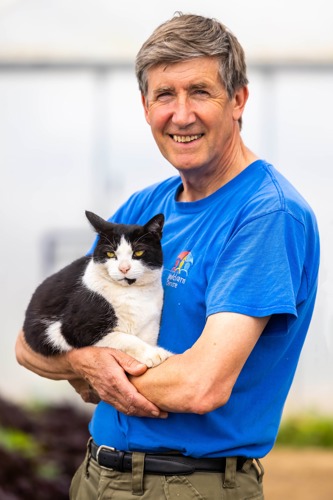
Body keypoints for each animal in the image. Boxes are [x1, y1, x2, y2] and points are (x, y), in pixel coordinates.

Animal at [23, 211, 171, 368]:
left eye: (138, 252)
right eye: (110, 253)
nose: (124, 268)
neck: (131, 293)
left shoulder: (151, 325)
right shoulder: (70, 330)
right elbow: (124, 337)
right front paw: (153, 353)